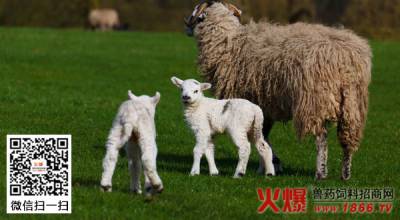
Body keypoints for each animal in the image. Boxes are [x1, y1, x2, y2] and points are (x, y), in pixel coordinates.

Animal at [184, 0, 372, 180]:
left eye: (197, 15)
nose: (186, 26)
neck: (227, 41)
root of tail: (345, 58)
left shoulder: (255, 102)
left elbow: (262, 136)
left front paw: (270, 165)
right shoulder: (265, 106)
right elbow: (262, 134)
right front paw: (268, 166)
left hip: (315, 101)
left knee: (321, 138)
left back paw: (320, 174)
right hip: (352, 104)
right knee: (348, 139)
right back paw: (345, 174)